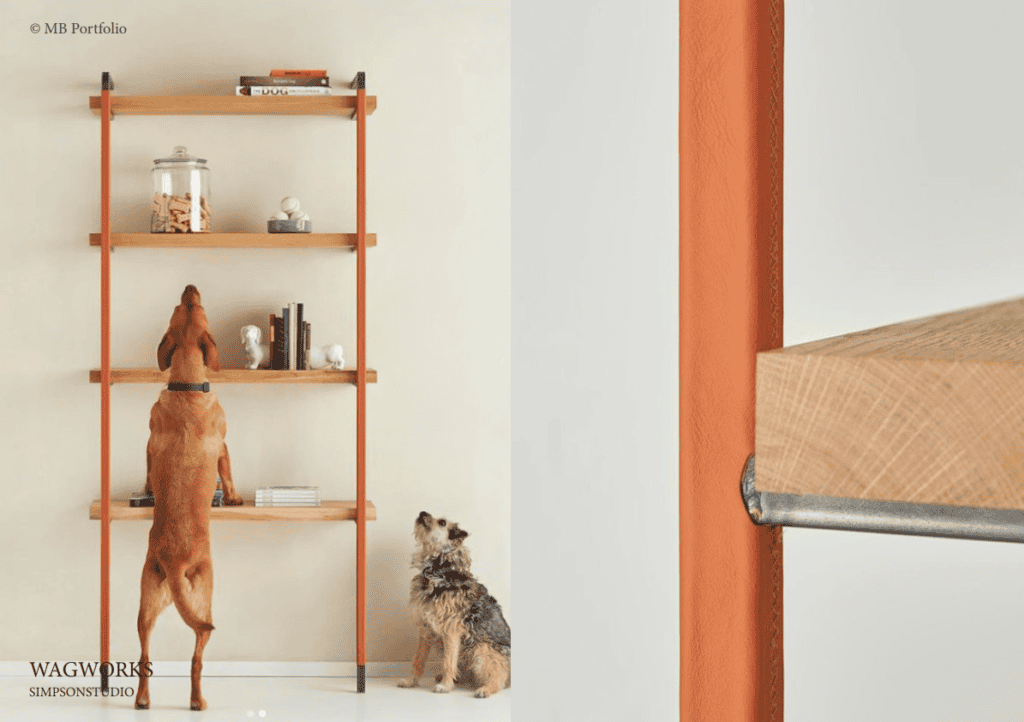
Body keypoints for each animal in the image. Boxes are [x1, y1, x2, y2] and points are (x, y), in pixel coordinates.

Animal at [134, 282, 241, 708]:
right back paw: (198, 700)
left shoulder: (148, 445)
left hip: (145, 604)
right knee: (197, 655)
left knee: (144, 655)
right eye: (197, 306)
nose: (190, 287)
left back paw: (143, 700)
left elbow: (148, 470)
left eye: (185, 307)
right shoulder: (225, 446)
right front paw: (235, 497)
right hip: (205, 597)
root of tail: (175, 561)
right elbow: (229, 474)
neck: (187, 386)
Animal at [399, 510, 512, 696]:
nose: (422, 512)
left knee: (500, 675)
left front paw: (445, 686)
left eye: (442, 522)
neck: (439, 569)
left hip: (481, 648)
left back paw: (485, 689)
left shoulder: (451, 630)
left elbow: (448, 661)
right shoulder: (425, 629)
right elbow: (417, 659)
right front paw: (410, 681)